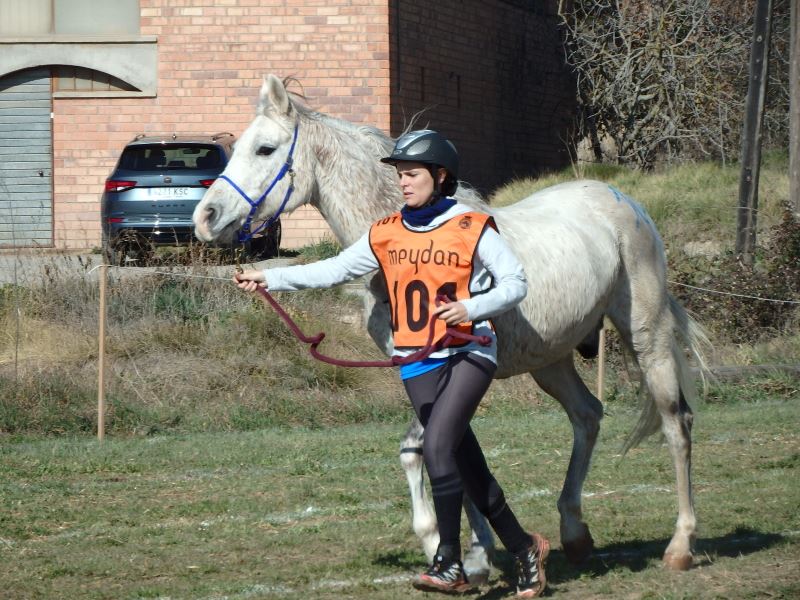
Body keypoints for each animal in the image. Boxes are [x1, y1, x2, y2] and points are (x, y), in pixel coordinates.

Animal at [192, 75, 708, 576]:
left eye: (265, 149)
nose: (205, 217)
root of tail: (624, 202)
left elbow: (434, 450)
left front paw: (457, 548)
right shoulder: (421, 372)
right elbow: (442, 452)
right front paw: (471, 552)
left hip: (647, 337)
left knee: (675, 422)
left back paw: (680, 545)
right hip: (551, 360)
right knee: (587, 415)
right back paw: (575, 533)